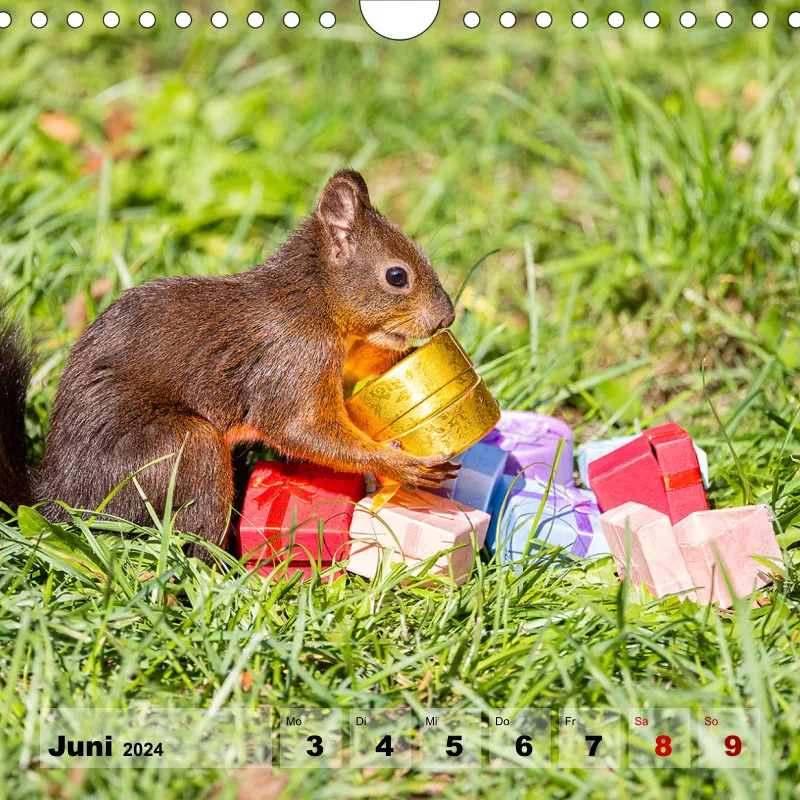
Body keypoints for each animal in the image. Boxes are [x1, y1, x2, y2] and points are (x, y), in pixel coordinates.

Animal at [0, 170, 459, 558]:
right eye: (397, 276)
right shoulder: (292, 356)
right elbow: (299, 429)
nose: (447, 317)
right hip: (182, 449)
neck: (311, 300)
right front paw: (402, 466)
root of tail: (57, 496)